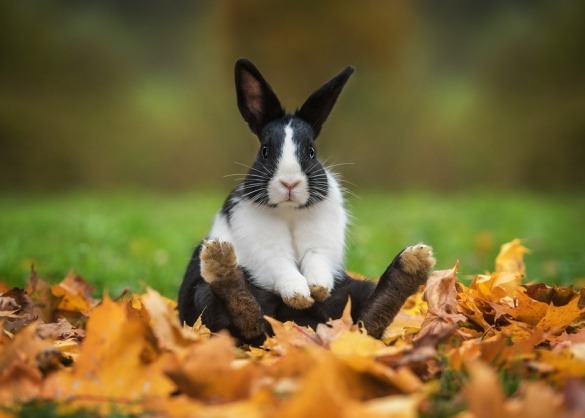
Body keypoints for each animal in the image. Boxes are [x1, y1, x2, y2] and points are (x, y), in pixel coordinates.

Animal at [178, 59, 434, 346]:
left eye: (311, 152)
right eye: (265, 151)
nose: (290, 183)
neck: (290, 212)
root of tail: (303, 326)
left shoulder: (321, 243)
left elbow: (316, 259)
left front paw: (317, 289)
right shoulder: (263, 246)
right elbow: (280, 264)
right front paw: (299, 295)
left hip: (354, 291)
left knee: (366, 323)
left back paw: (411, 265)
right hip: (203, 296)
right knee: (247, 321)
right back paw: (221, 262)